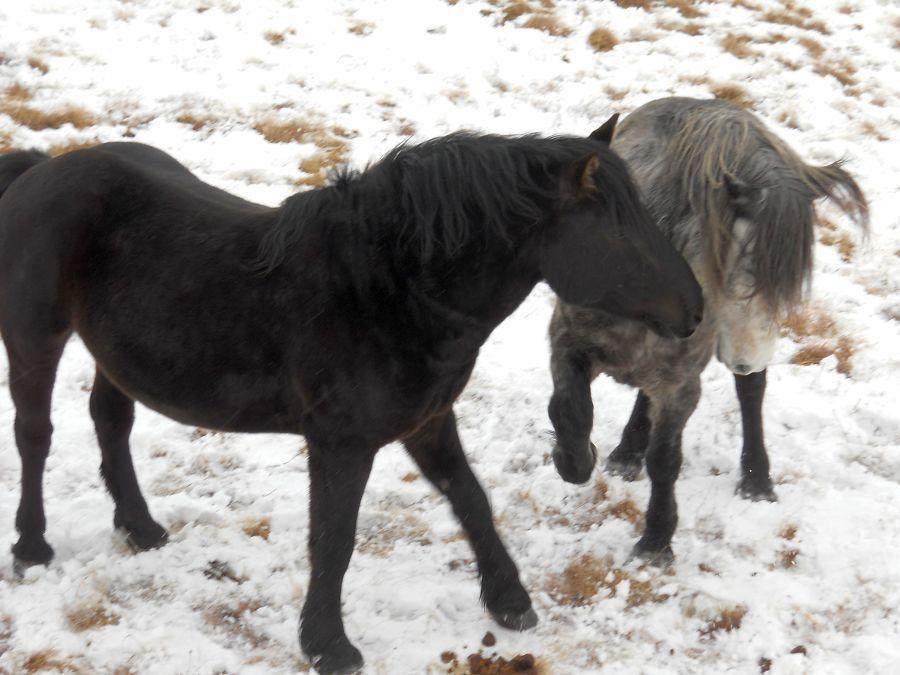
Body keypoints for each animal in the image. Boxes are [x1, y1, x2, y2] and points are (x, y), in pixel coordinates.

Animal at [0, 128, 704, 675]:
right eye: (621, 234)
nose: (696, 309)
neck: (386, 291)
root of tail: (42, 168)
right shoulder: (341, 443)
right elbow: (334, 538)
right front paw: (328, 645)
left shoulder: (427, 422)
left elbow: (472, 501)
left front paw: (510, 600)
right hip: (35, 337)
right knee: (35, 435)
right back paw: (32, 546)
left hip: (115, 353)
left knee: (110, 422)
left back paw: (140, 526)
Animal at [548, 96, 864, 564]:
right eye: (745, 267)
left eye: (787, 282)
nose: (749, 358)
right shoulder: (568, 342)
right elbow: (569, 412)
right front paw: (577, 460)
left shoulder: (682, 383)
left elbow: (665, 459)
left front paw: (656, 540)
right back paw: (627, 452)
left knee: (750, 395)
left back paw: (756, 479)